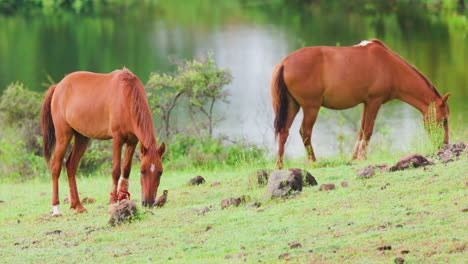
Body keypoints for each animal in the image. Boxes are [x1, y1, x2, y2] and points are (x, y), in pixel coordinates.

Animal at [41, 68, 166, 217]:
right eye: (142, 171)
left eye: (160, 172)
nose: (148, 203)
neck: (126, 96)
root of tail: (58, 86)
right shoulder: (117, 139)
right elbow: (116, 171)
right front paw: (112, 203)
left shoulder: (132, 141)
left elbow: (126, 170)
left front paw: (123, 200)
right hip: (63, 136)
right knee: (56, 167)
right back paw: (56, 208)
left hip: (82, 137)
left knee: (71, 165)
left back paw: (78, 206)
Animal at [270, 39, 450, 169]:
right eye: (444, 120)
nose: (444, 145)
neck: (390, 66)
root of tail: (285, 62)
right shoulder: (374, 101)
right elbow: (368, 131)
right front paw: (363, 157)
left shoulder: (366, 103)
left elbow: (361, 131)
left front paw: (354, 157)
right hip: (311, 107)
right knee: (305, 132)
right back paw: (314, 161)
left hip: (293, 106)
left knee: (284, 132)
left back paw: (279, 165)